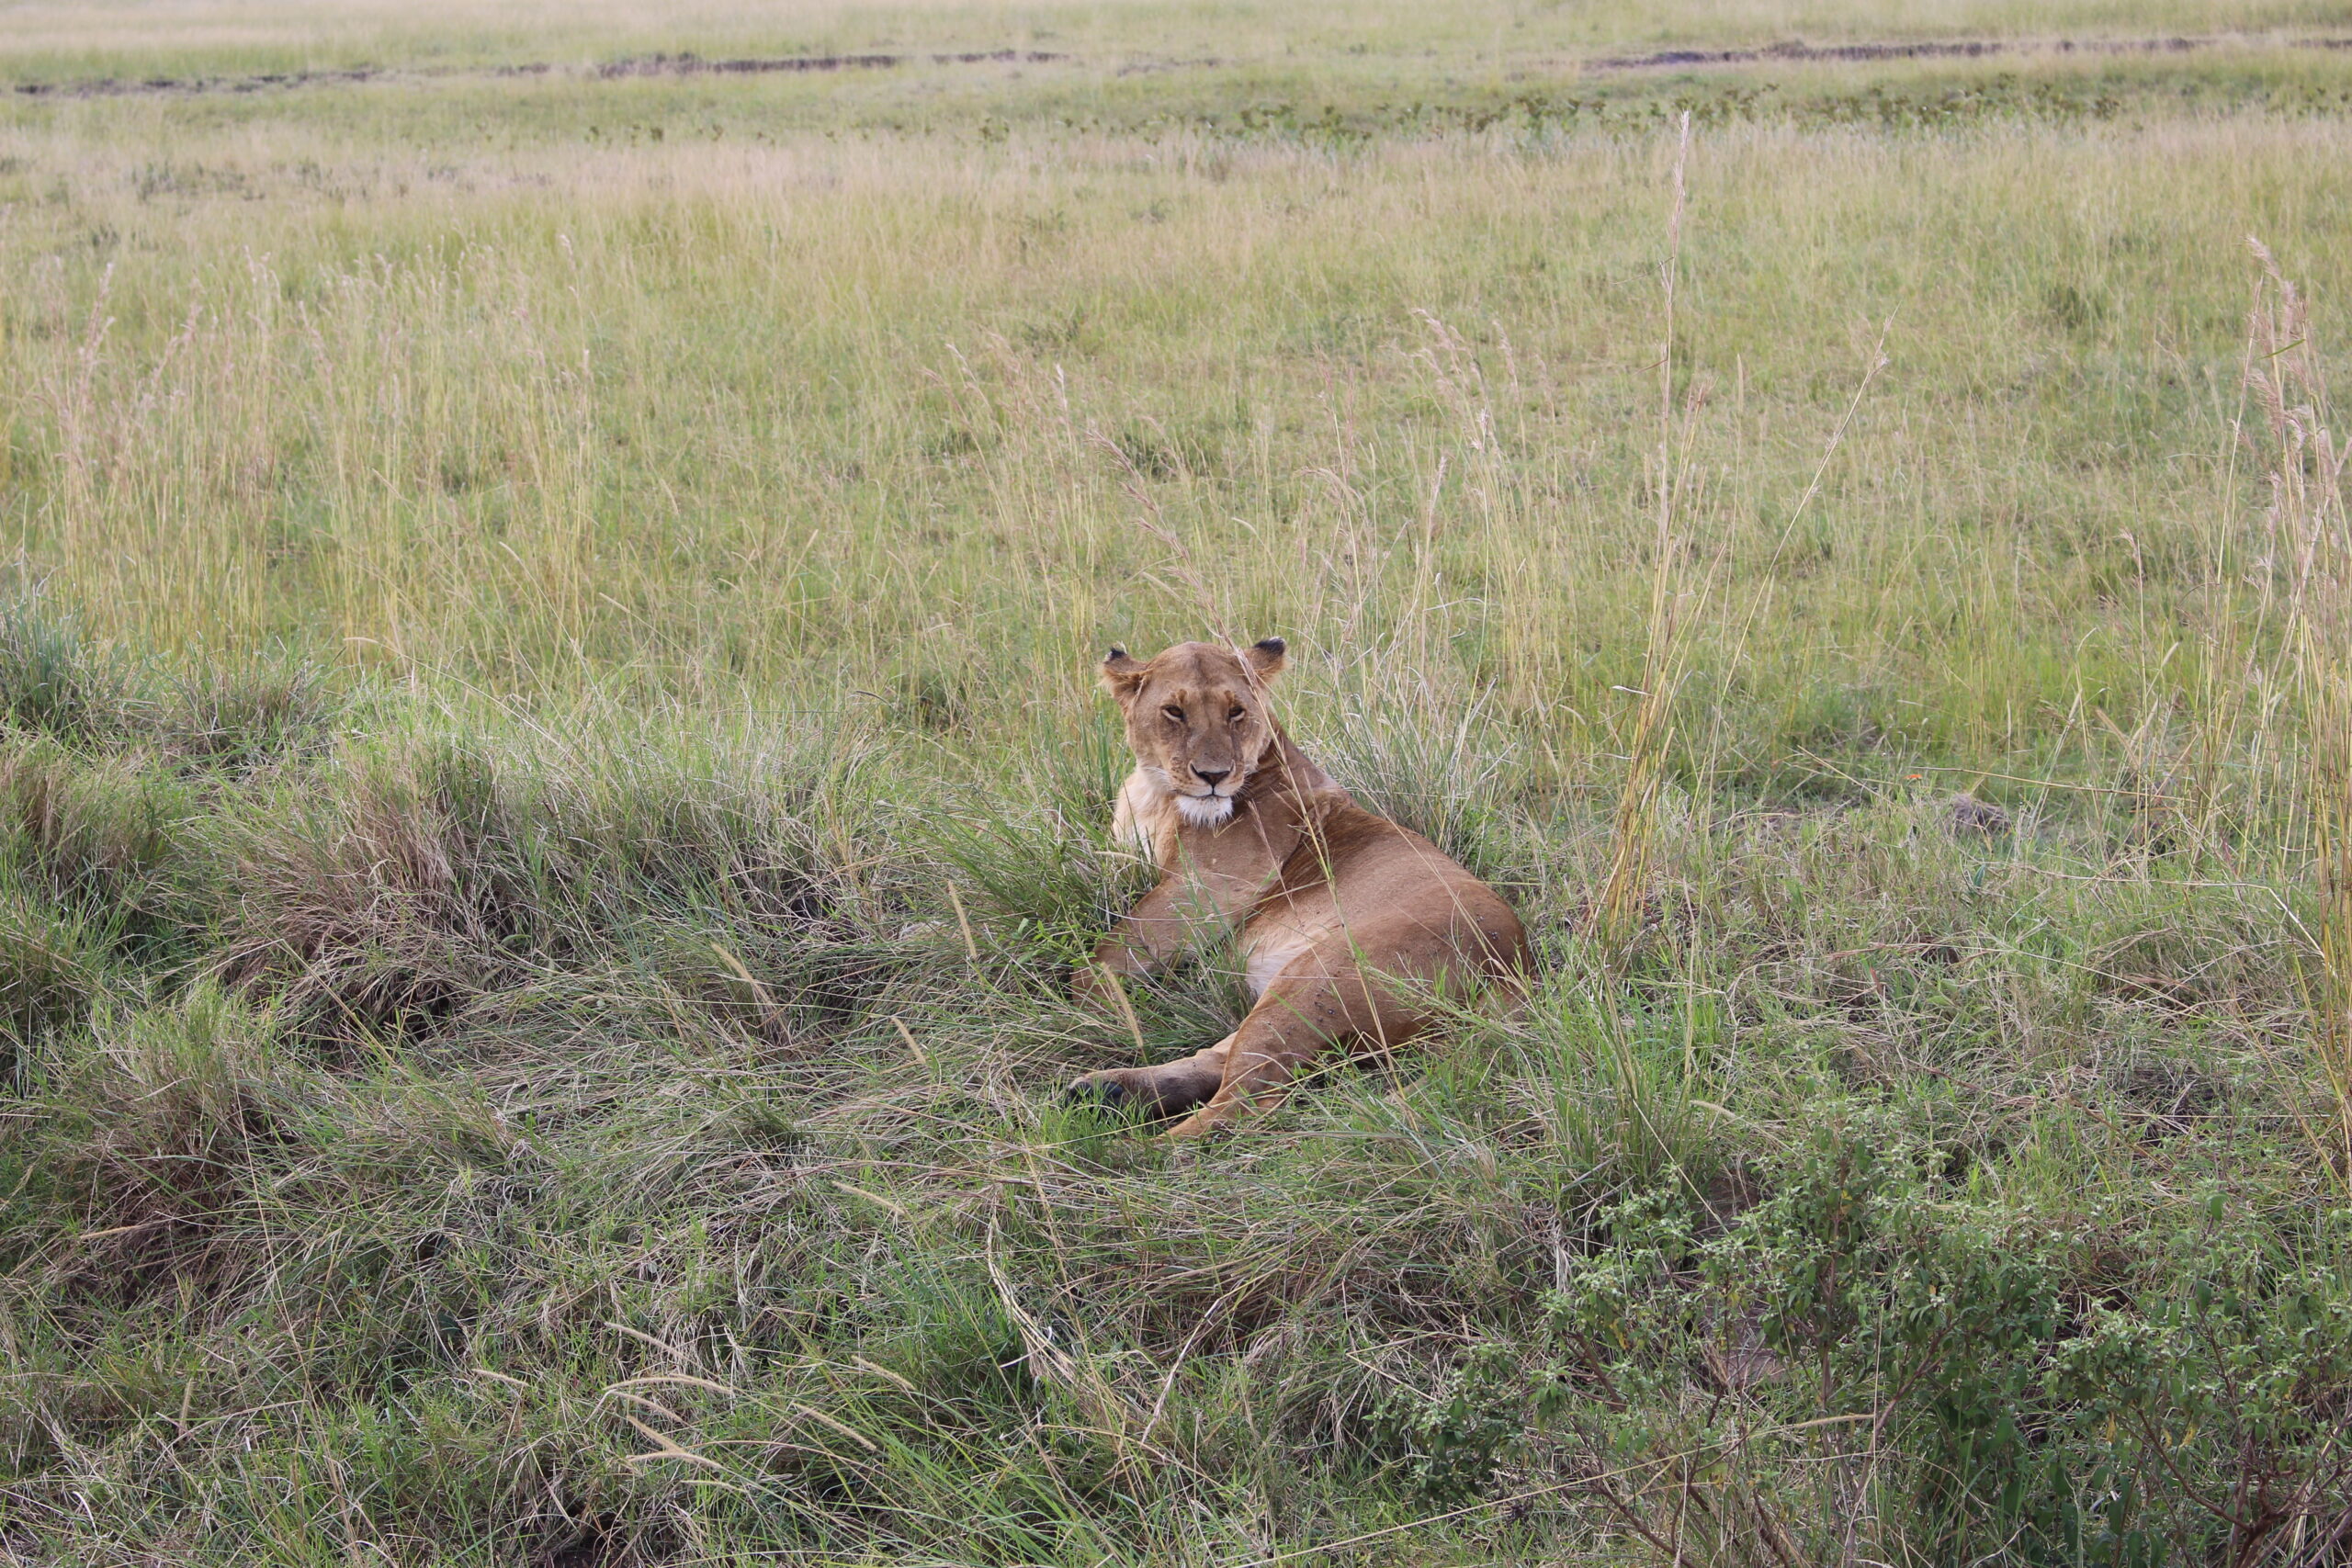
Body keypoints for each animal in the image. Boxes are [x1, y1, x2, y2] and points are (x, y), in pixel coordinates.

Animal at [1068, 637, 1529, 1137]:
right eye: (1174, 711)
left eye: (1236, 712)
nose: (1214, 776)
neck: (1156, 794)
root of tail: (1518, 968)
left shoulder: (1206, 891)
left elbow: (1100, 961)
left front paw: (1093, 1015)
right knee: (1220, 1061)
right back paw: (1104, 1092)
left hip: (1316, 979)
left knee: (1243, 1105)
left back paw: (1132, 1147)